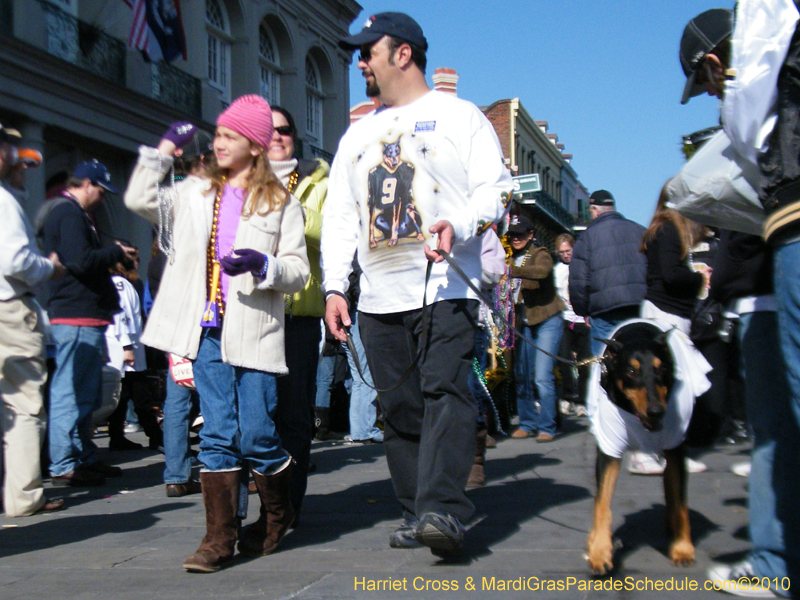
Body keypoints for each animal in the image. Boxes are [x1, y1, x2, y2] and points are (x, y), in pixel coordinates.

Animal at [588, 322, 692, 576]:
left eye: (662, 368)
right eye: (631, 371)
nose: (656, 411)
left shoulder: (677, 446)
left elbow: (680, 501)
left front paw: (682, 548)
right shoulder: (608, 450)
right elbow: (602, 503)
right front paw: (599, 551)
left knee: (671, 489)